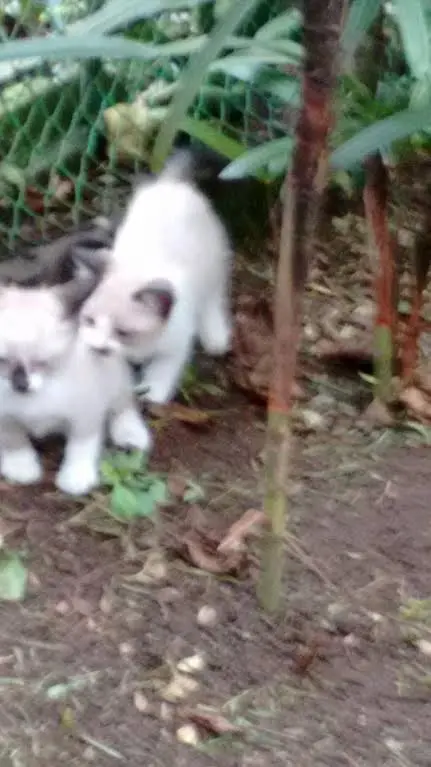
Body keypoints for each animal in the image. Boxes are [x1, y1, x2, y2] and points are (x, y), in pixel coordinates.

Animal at [0, 274, 151, 496]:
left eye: (42, 362)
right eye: (2, 361)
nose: (21, 384)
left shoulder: (84, 415)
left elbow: (80, 447)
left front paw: (76, 478)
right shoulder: (5, 418)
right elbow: (14, 441)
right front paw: (21, 467)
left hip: (114, 381)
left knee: (123, 406)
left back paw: (132, 435)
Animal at [73, 151, 233, 405]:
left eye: (123, 333)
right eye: (89, 320)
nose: (98, 348)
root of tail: (173, 183)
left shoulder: (175, 345)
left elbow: (163, 371)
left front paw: (152, 395)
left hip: (213, 264)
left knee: (214, 295)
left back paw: (215, 337)